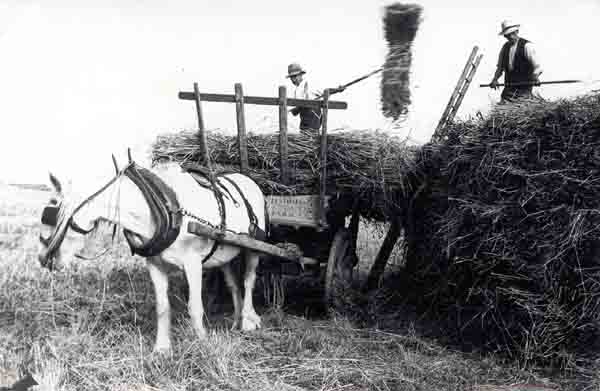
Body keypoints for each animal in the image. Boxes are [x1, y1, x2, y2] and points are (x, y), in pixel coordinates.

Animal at [38, 156, 268, 356]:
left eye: (53, 209)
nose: (42, 258)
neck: (164, 208)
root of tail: (248, 179)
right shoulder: (155, 264)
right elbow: (162, 307)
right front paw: (162, 349)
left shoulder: (193, 264)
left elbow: (195, 307)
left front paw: (203, 344)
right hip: (225, 251)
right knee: (233, 283)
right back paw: (236, 320)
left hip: (254, 247)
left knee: (248, 280)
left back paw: (249, 320)